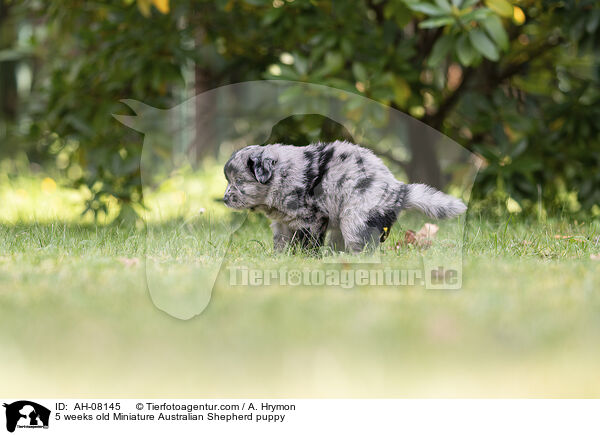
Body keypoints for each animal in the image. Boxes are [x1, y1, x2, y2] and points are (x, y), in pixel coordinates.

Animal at [223, 141, 466, 254]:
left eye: (239, 182)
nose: (225, 199)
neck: (282, 174)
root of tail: (399, 190)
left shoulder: (312, 220)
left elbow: (308, 243)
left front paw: (306, 259)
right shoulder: (282, 223)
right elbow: (281, 242)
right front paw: (279, 258)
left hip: (355, 217)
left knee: (363, 245)